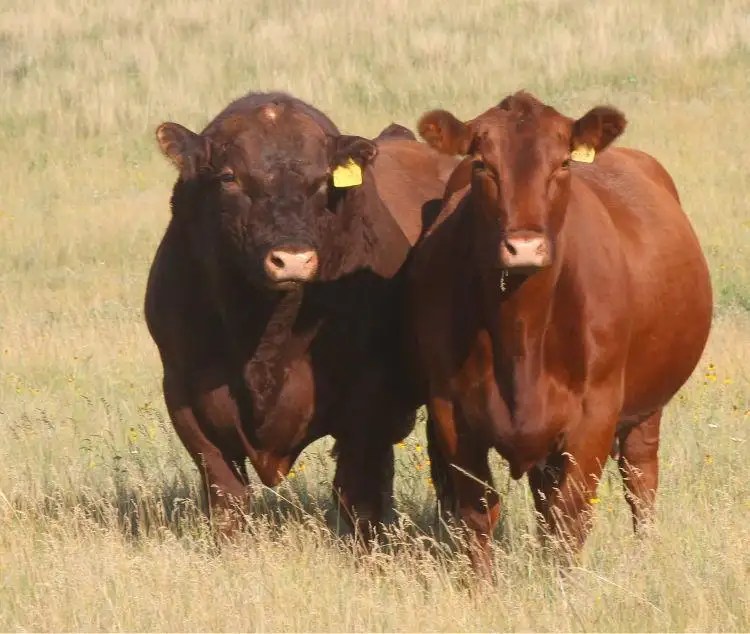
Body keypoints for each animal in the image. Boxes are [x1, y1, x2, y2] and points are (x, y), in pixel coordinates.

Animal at [144, 91, 457, 541]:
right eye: (228, 176)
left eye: (323, 180)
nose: (292, 258)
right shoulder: (185, 395)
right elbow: (226, 494)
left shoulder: (368, 400)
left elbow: (359, 495)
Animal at [407, 90, 713, 578]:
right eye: (482, 165)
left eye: (564, 163)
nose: (524, 247)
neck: (521, 333)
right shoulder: (449, 410)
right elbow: (477, 511)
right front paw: (481, 587)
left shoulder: (596, 413)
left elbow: (570, 517)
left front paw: (562, 587)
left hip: (647, 406)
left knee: (639, 476)